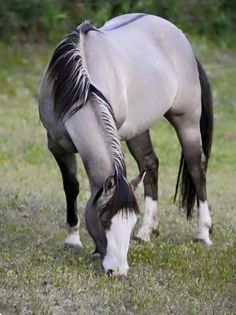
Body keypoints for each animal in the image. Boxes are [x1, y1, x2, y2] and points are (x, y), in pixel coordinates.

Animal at [37, 13, 213, 278]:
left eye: (129, 222)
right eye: (104, 220)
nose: (118, 271)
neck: (79, 85)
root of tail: (181, 37)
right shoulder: (57, 146)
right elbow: (72, 187)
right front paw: (73, 241)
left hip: (187, 120)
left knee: (196, 168)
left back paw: (203, 233)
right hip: (138, 129)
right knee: (151, 164)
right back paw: (147, 231)